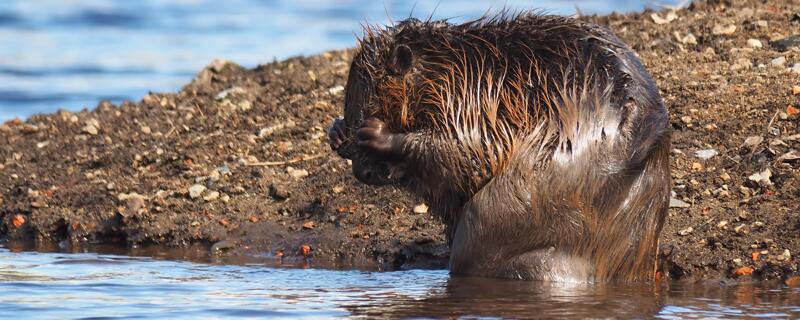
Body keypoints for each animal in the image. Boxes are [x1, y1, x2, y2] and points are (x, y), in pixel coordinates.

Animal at [328, 13, 672, 282]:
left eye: (372, 103)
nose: (362, 173)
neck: (450, 63)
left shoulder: (470, 99)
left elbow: (468, 153)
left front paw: (374, 134)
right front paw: (338, 133)